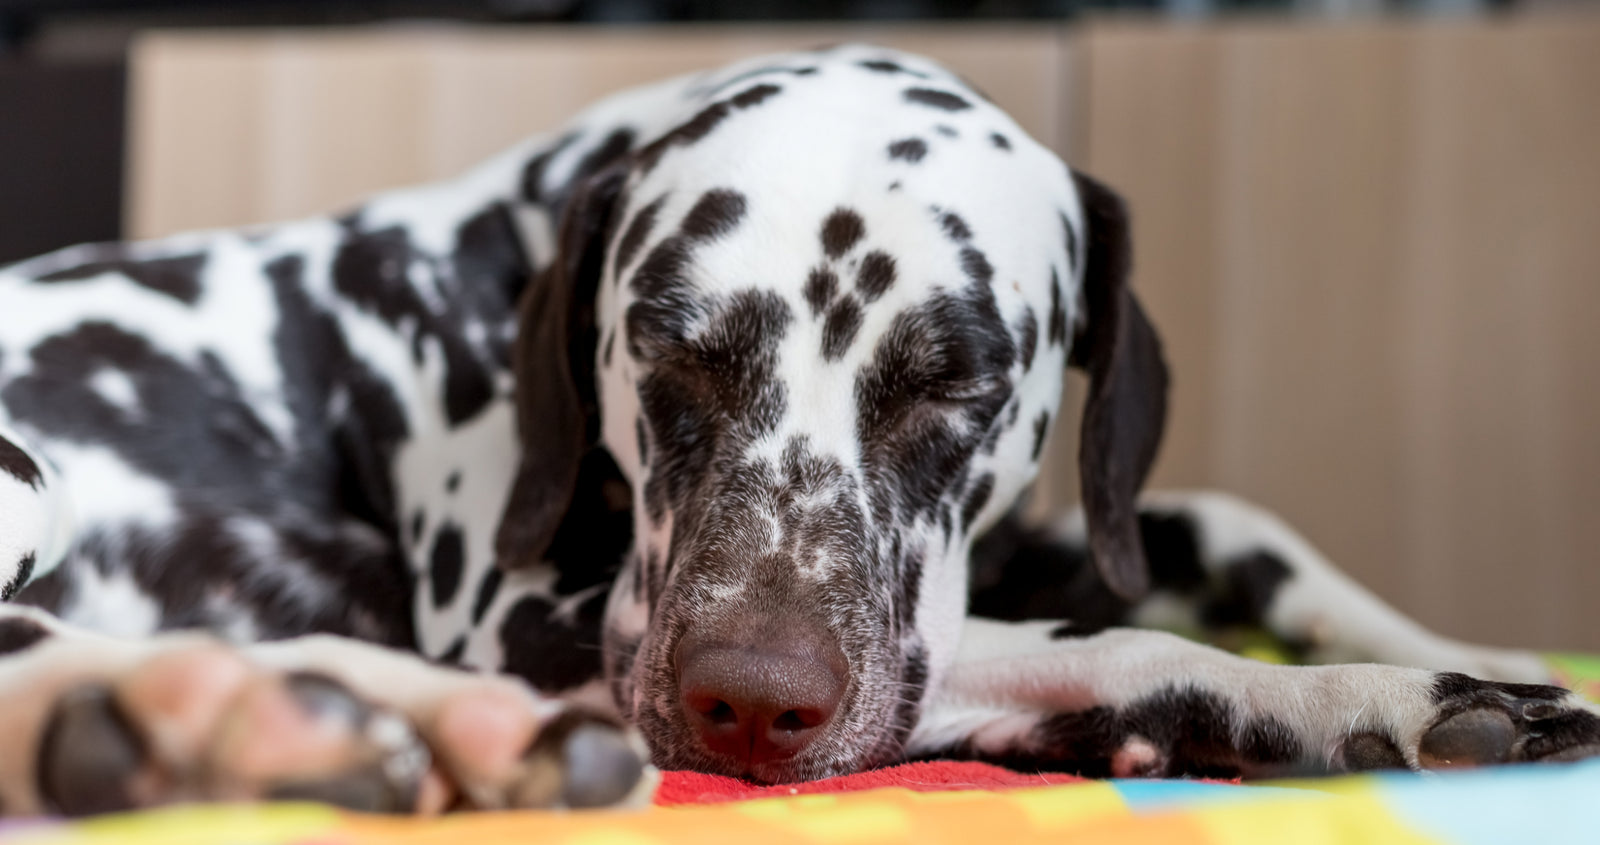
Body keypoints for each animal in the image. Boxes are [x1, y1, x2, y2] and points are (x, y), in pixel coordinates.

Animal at [3, 46, 1600, 819]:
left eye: (956, 381)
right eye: (666, 345)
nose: (749, 706)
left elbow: (1216, 530)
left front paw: (1452, 643)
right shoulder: (539, 620)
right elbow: (1115, 634)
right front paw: (1364, 696)